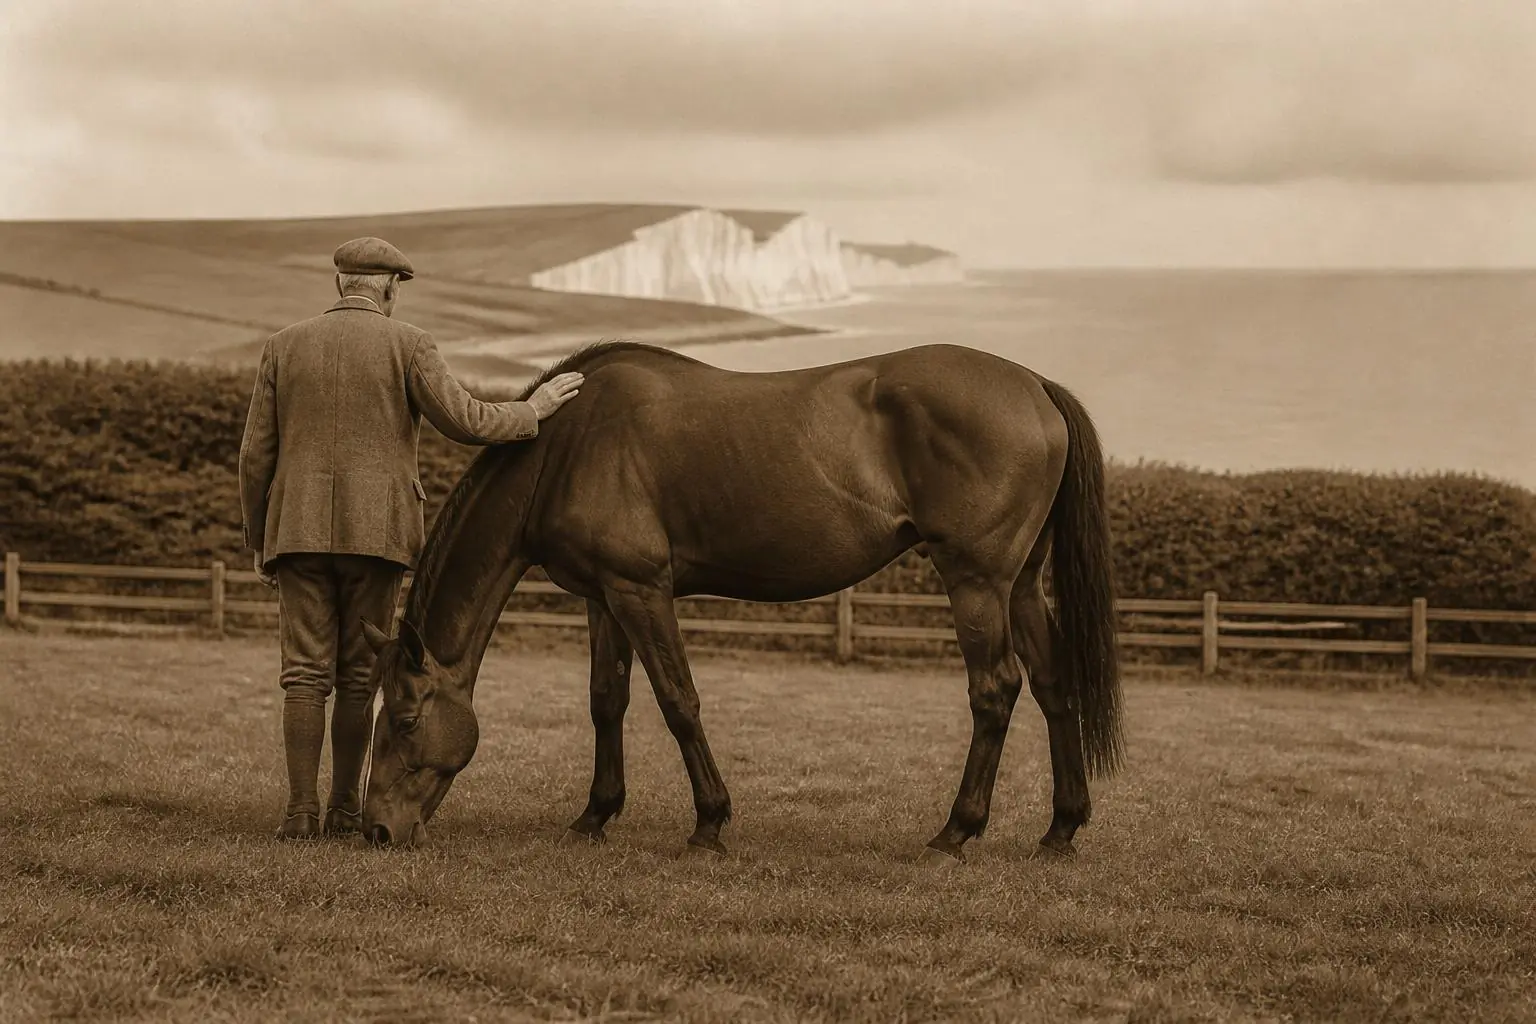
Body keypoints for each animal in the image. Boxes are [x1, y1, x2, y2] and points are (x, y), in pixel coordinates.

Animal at [358, 340, 1122, 863]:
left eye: (402, 719)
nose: (377, 828)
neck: (567, 447)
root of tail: (1035, 386)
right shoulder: (604, 598)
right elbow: (607, 701)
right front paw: (595, 816)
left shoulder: (641, 589)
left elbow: (678, 701)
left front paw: (710, 823)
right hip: (1019, 586)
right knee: (1054, 688)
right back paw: (1061, 828)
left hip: (977, 583)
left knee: (995, 691)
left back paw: (954, 833)